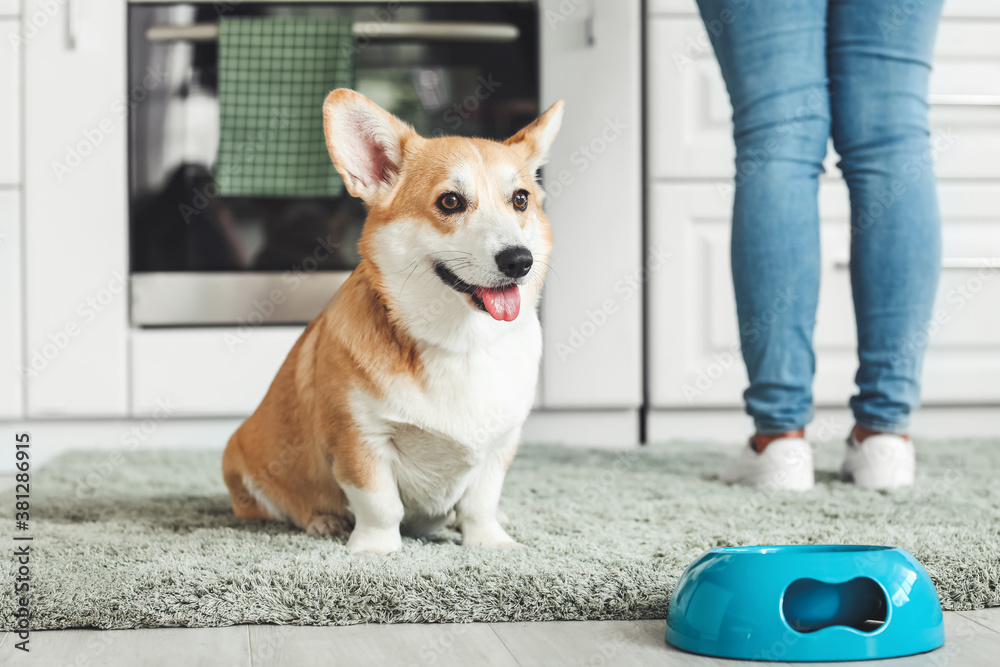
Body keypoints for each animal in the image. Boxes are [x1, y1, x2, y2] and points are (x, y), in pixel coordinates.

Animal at [225, 90, 564, 560]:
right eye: (450, 202)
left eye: (520, 199)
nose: (519, 260)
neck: (458, 343)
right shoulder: (361, 438)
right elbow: (380, 503)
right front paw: (376, 550)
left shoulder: (499, 444)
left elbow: (481, 501)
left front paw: (490, 543)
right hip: (244, 467)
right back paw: (322, 521)